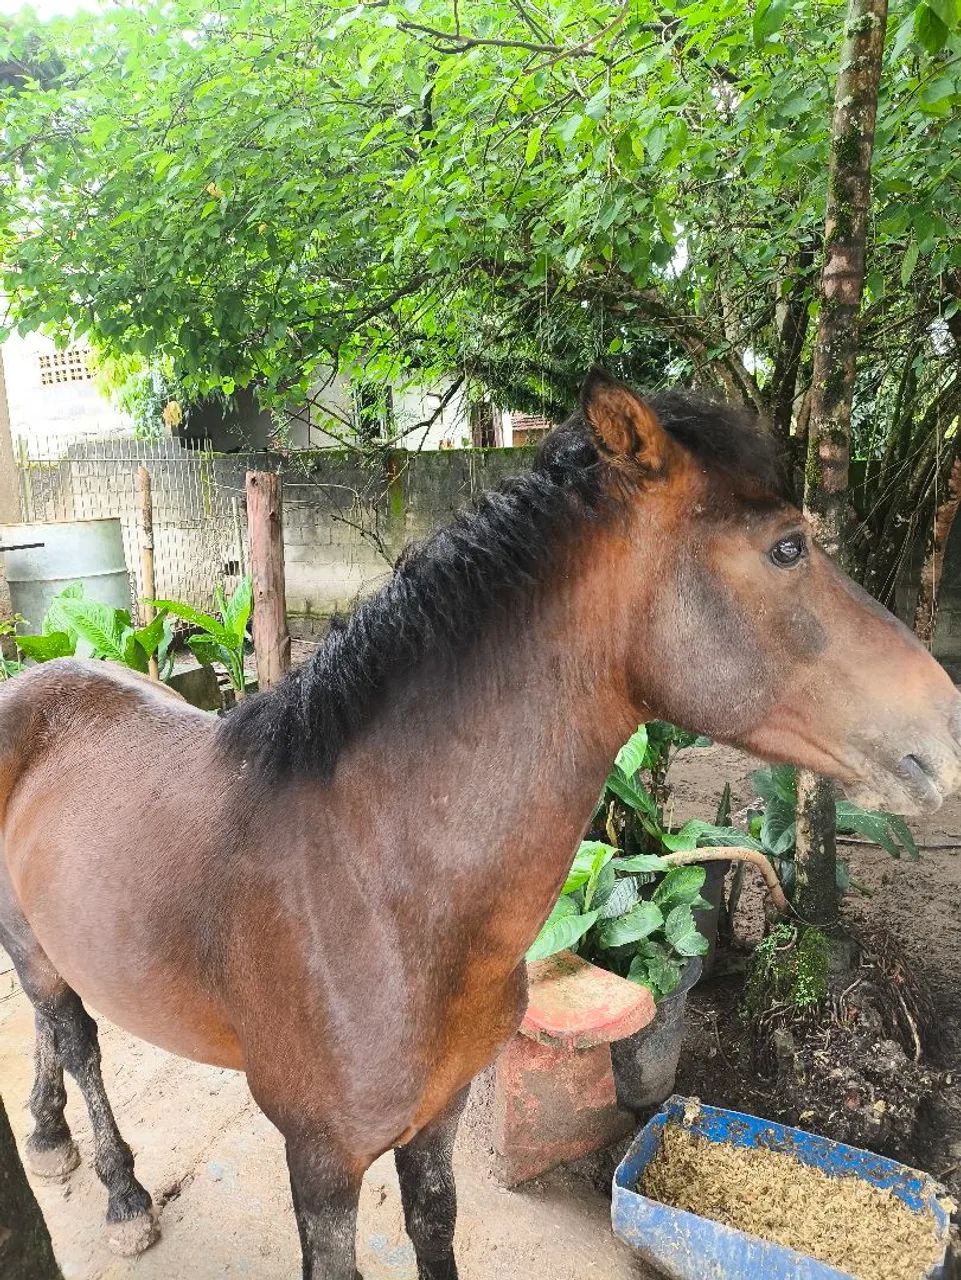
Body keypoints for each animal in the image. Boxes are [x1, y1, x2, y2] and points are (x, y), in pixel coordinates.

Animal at [2, 369, 960, 1278]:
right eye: (787, 548)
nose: (947, 725)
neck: (375, 888)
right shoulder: (320, 1162)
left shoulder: (437, 1121)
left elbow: (434, 1233)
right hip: (34, 948)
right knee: (76, 1039)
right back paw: (121, 1194)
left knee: (54, 1028)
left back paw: (48, 1140)